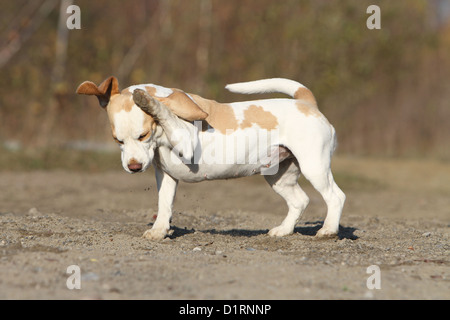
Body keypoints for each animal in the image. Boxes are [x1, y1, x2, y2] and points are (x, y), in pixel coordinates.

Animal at [76, 76, 344, 239]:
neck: (159, 140)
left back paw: (328, 230)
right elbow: (164, 205)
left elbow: (165, 111)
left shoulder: (186, 142)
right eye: (118, 140)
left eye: (142, 135)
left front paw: (149, 102)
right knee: (300, 200)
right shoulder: (166, 176)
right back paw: (284, 230)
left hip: (314, 167)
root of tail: (306, 103)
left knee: (335, 197)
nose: (133, 167)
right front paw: (159, 231)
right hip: (278, 176)